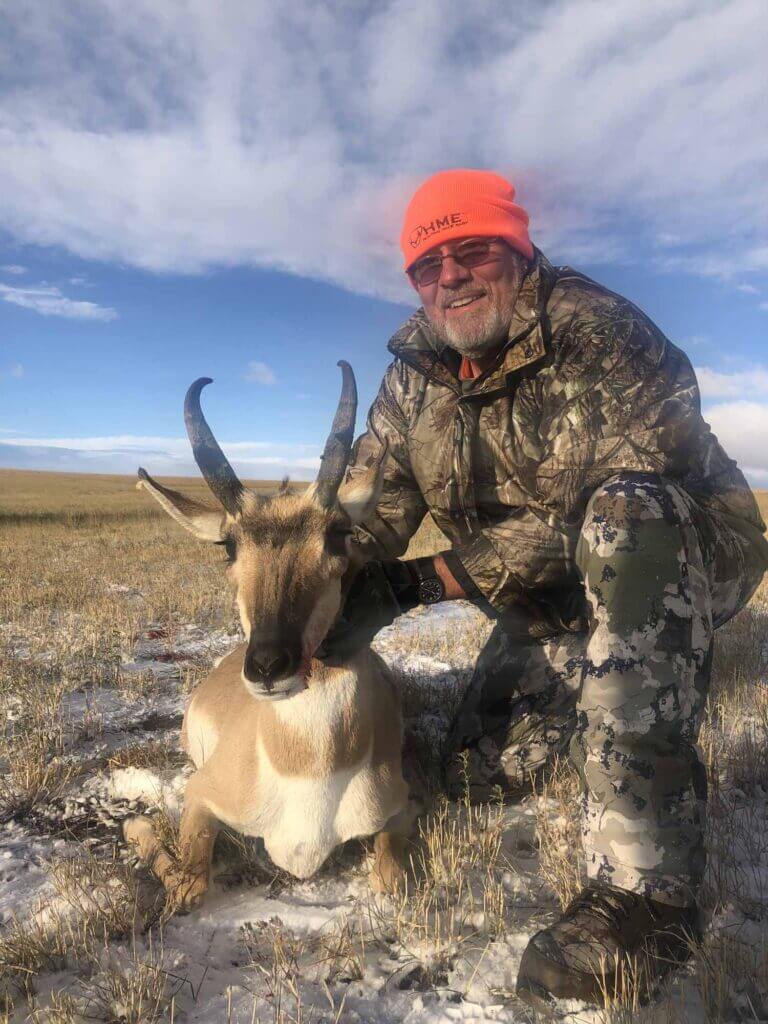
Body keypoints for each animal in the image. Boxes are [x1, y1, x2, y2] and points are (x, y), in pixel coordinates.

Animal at [123, 363, 410, 909]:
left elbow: (392, 879)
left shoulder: (395, 813)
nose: (267, 666)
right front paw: (134, 825)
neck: (307, 773)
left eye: (338, 534)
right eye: (229, 545)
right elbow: (189, 884)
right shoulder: (201, 796)